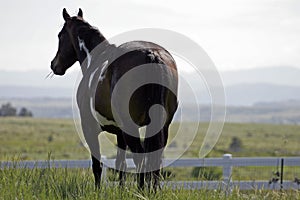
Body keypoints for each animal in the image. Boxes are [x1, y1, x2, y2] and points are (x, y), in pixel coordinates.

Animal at [49, 8, 178, 189]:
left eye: (60, 35)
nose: (54, 65)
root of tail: (151, 54)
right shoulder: (120, 133)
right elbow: (121, 164)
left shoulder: (89, 128)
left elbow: (97, 165)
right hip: (161, 125)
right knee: (154, 159)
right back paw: (152, 190)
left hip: (132, 127)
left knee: (140, 158)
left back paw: (141, 190)